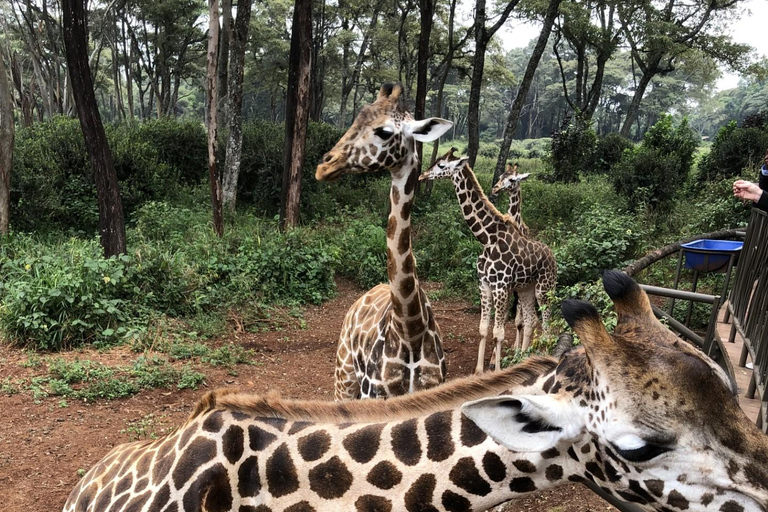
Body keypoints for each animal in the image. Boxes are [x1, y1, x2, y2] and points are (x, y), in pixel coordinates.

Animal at [316, 84, 452, 402]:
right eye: (355, 120)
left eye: (384, 132)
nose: (324, 166)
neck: (409, 330)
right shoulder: (374, 395)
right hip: (344, 376)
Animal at [420, 148, 560, 372]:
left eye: (442, 165)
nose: (422, 176)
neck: (487, 239)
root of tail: (553, 256)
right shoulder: (485, 284)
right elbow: (484, 328)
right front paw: (479, 370)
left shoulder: (501, 286)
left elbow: (499, 332)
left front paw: (496, 369)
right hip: (526, 288)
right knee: (531, 320)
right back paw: (522, 357)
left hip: (544, 288)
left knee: (546, 322)